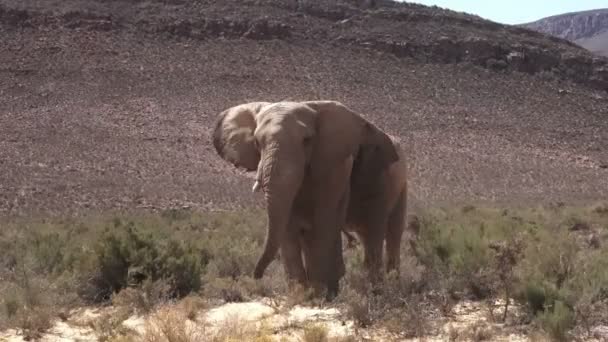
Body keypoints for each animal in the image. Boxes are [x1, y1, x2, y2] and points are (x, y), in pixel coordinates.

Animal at [211, 100, 396, 298]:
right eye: (256, 142)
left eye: (307, 141)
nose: (256, 276)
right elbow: (288, 229)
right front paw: (299, 294)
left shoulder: (333, 168)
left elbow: (323, 223)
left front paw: (318, 293)